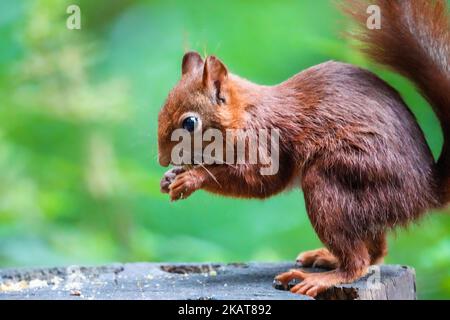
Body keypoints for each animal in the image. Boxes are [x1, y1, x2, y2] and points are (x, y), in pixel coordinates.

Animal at [156, 0, 448, 298]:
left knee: (358, 263)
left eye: (190, 123)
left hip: (338, 182)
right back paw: (327, 257)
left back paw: (322, 278)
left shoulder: (265, 144)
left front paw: (192, 178)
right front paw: (170, 177)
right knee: (375, 253)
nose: (162, 159)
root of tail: (425, 192)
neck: (245, 115)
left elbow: (258, 181)